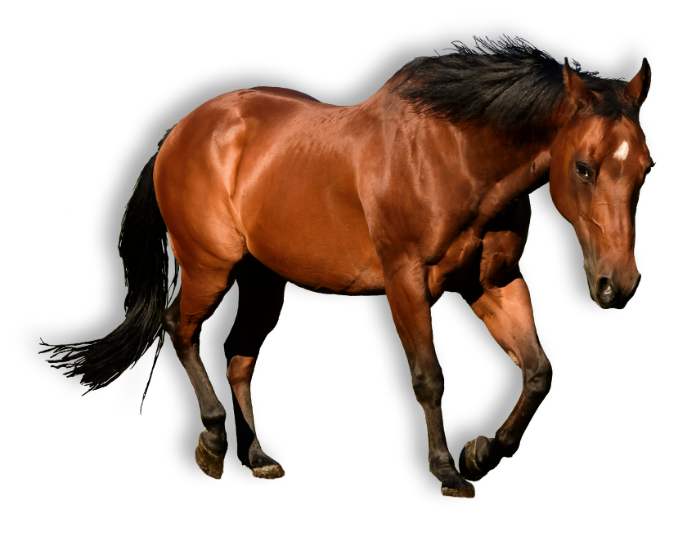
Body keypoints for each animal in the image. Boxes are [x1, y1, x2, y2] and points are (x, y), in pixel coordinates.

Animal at [41, 35, 652, 500]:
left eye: (645, 166)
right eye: (584, 167)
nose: (616, 285)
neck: (454, 154)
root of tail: (180, 131)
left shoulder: (494, 284)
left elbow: (538, 372)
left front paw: (481, 452)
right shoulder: (405, 280)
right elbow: (429, 376)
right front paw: (447, 469)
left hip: (265, 282)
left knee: (239, 361)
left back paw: (258, 456)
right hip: (207, 268)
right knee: (180, 330)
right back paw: (212, 443)